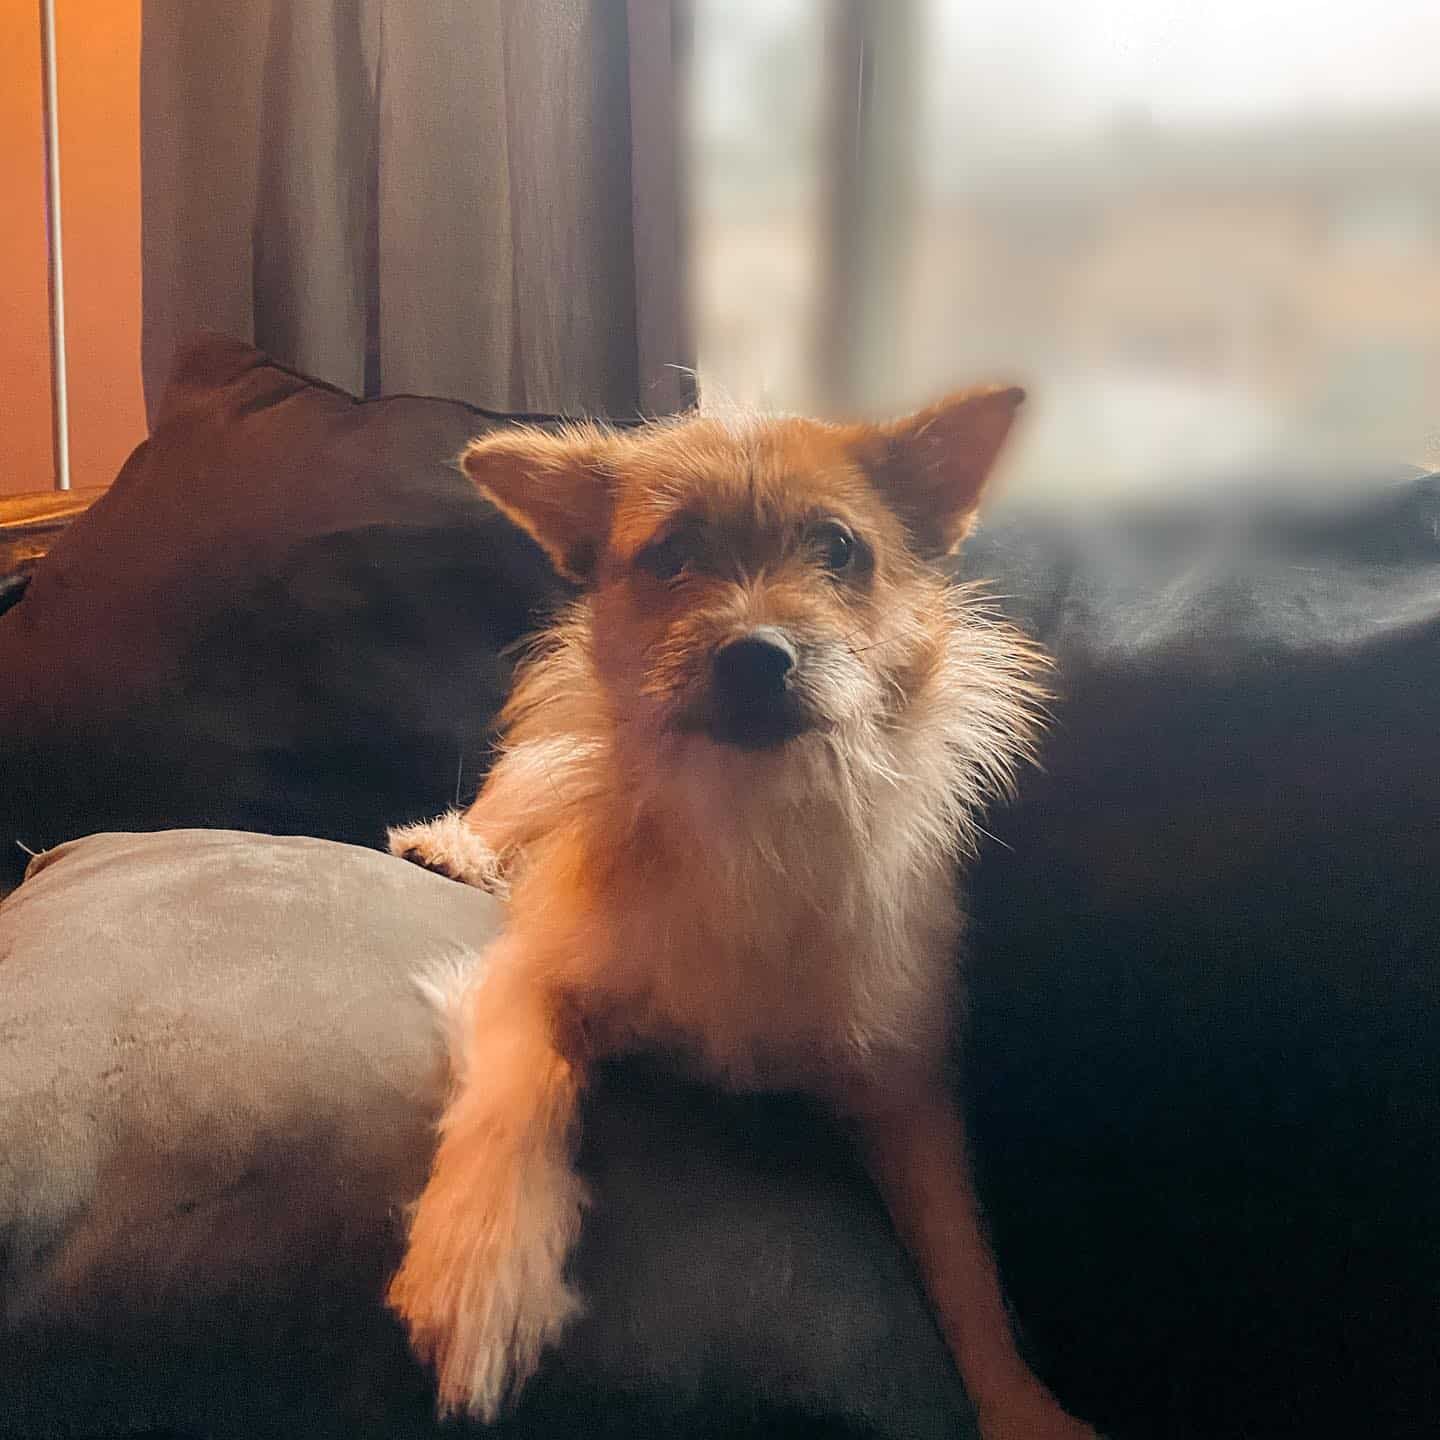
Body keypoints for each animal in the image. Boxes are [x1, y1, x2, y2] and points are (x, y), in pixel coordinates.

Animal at [383, 394, 1088, 1440]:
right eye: (673, 553)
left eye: (838, 548)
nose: (756, 656)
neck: (751, 816)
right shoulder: (534, 973)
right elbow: (522, 1086)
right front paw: (485, 1267)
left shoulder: (906, 1086)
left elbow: (963, 1262)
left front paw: (1020, 1406)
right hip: (532, 785)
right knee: (499, 816)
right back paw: (450, 848)